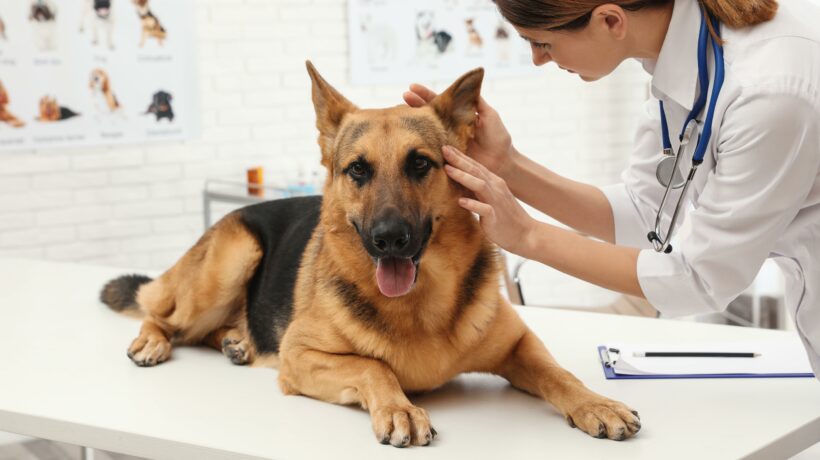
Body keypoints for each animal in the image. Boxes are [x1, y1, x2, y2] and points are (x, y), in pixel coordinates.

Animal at [101, 61, 640, 446]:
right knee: (162, 314)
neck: (421, 304)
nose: (389, 238)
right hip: (233, 258)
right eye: (358, 170)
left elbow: (559, 372)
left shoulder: (520, 346)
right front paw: (399, 407)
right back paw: (155, 341)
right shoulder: (300, 355)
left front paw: (596, 402)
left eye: (420, 163)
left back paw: (237, 342)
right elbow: (372, 365)